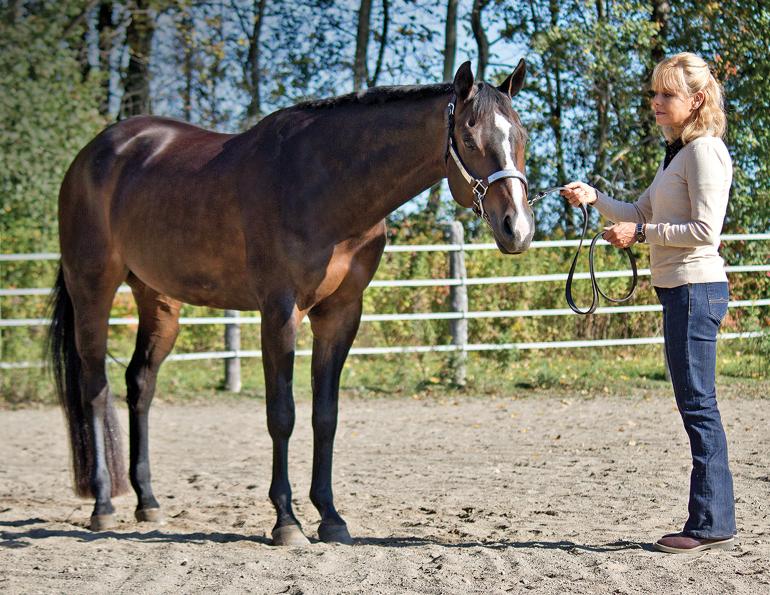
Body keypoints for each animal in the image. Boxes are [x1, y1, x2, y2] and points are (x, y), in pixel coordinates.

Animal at [47, 60, 534, 546]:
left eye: (522, 136)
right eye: (469, 139)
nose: (518, 228)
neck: (327, 186)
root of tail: (94, 154)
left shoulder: (341, 314)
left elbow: (326, 416)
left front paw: (330, 517)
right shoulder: (279, 313)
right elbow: (282, 415)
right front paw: (287, 521)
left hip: (158, 300)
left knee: (140, 385)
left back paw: (147, 502)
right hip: (92, 291)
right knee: (95, 389)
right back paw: (103, 505)